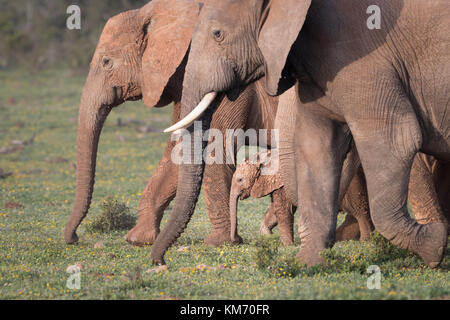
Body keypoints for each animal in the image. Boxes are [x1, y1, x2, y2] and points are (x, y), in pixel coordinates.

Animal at [153, 0, 448, 268]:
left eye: (217, 34)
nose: (161, 262)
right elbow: (317, 147)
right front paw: (307, 264)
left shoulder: (364, 60)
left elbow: (396, 138)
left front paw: (435, 246)